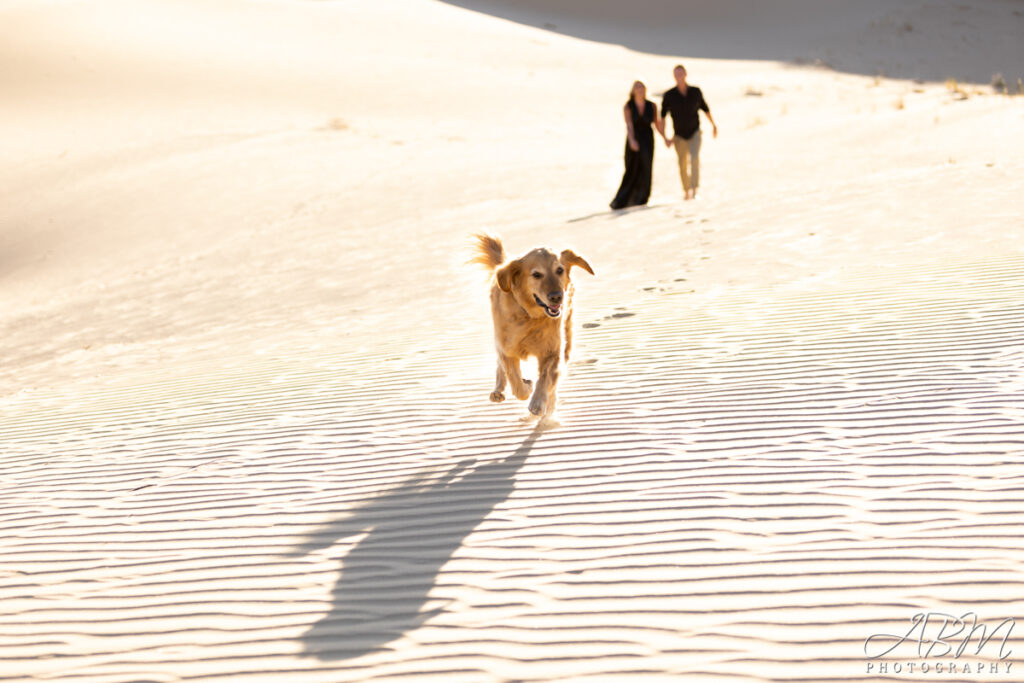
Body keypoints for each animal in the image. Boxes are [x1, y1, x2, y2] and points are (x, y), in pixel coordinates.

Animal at [471, 233, 593, 417]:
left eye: (559, 270)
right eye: (536, 274)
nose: (557, 297)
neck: (529, 316)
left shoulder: (552, 351)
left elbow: (546, 378)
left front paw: (539, 403)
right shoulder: (507, 348)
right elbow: (516, 382)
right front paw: (527, 387)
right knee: (500, 365)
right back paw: (498, 391)